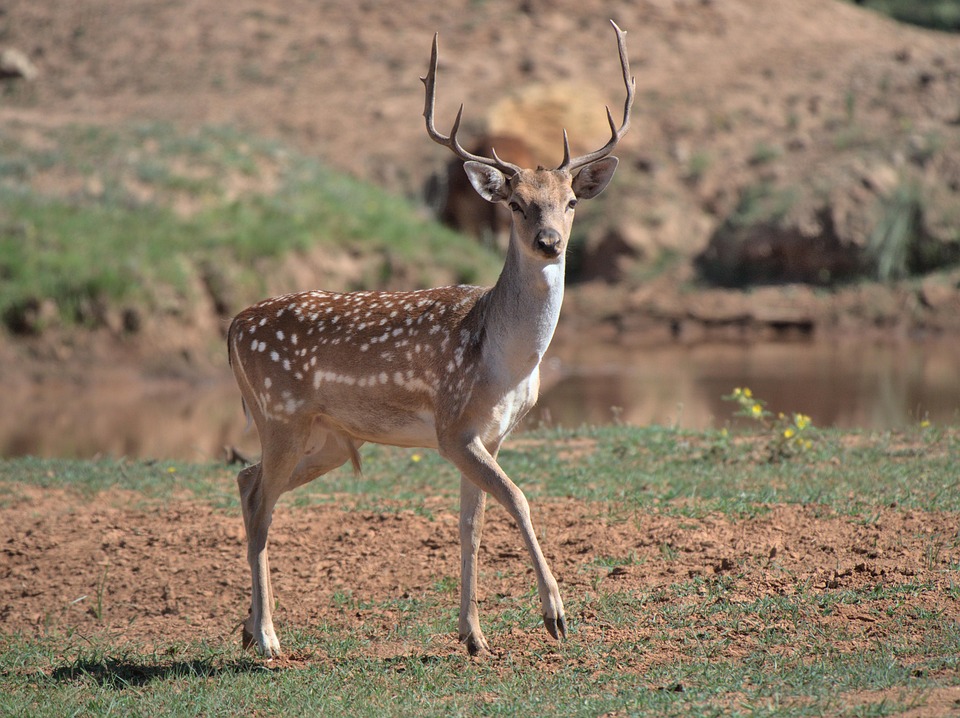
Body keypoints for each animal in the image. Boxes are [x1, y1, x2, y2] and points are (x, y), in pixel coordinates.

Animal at [227, 19, 634, 658]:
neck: (504, 362)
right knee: (262, 503)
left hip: (326, 436)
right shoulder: (451, 427)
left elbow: (471, 526)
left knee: (247, 483)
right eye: (516, 204)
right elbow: (519, 499)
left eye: (570, 202)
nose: (550, 241)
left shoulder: (489, 435)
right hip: (280, 413)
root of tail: (231, 325)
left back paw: (248, 631)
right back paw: (269, 640)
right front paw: (555, 616)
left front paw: (474, 636)